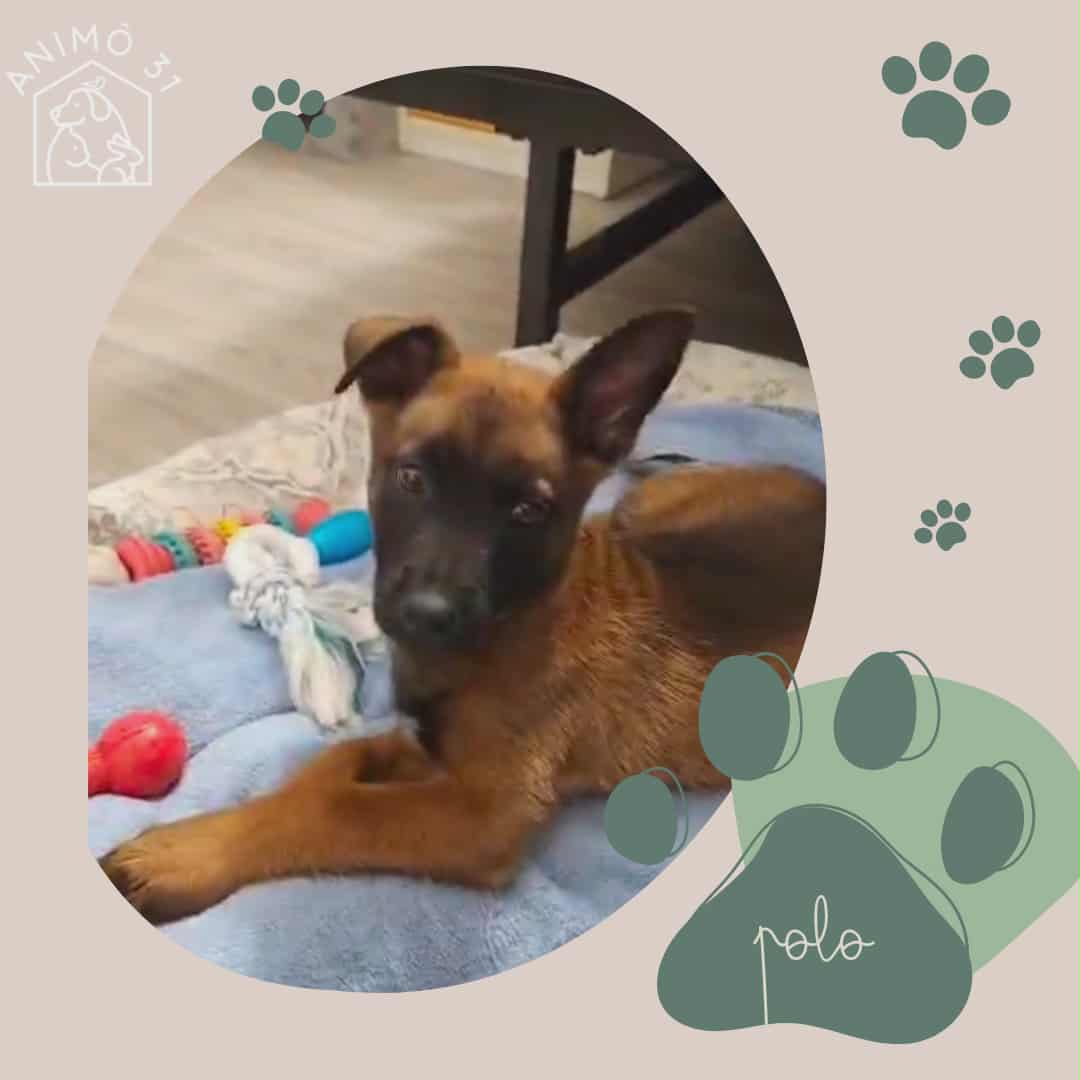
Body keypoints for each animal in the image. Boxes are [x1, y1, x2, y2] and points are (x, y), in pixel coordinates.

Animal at [100, 310, 826, 925]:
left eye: (529, 511)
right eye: (412, 477)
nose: (428, 615)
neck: (518, 624)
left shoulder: (485, 812)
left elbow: (338, 808)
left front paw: (184, 857)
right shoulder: (424, 744)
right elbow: (330, 767)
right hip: (641, 513)